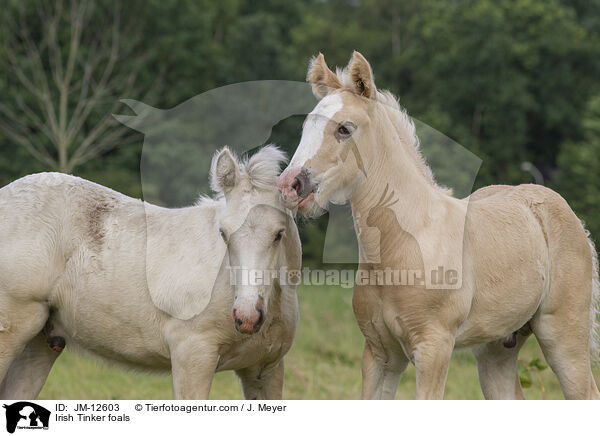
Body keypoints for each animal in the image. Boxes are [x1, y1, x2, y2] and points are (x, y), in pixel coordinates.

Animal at [0, 146, 300, 398]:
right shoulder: (192, 356)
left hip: (39, 345)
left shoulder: (265, 369)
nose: (246, 317)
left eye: (279, 233)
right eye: (224, 234)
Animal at [278, 51, 596, 398]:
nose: (291, 186)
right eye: (306, 126)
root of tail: (571, 217)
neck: (402, 245)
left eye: (344, 129)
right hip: (496, 349)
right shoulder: (380, 354)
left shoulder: (433, 348)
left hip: (562, 336)